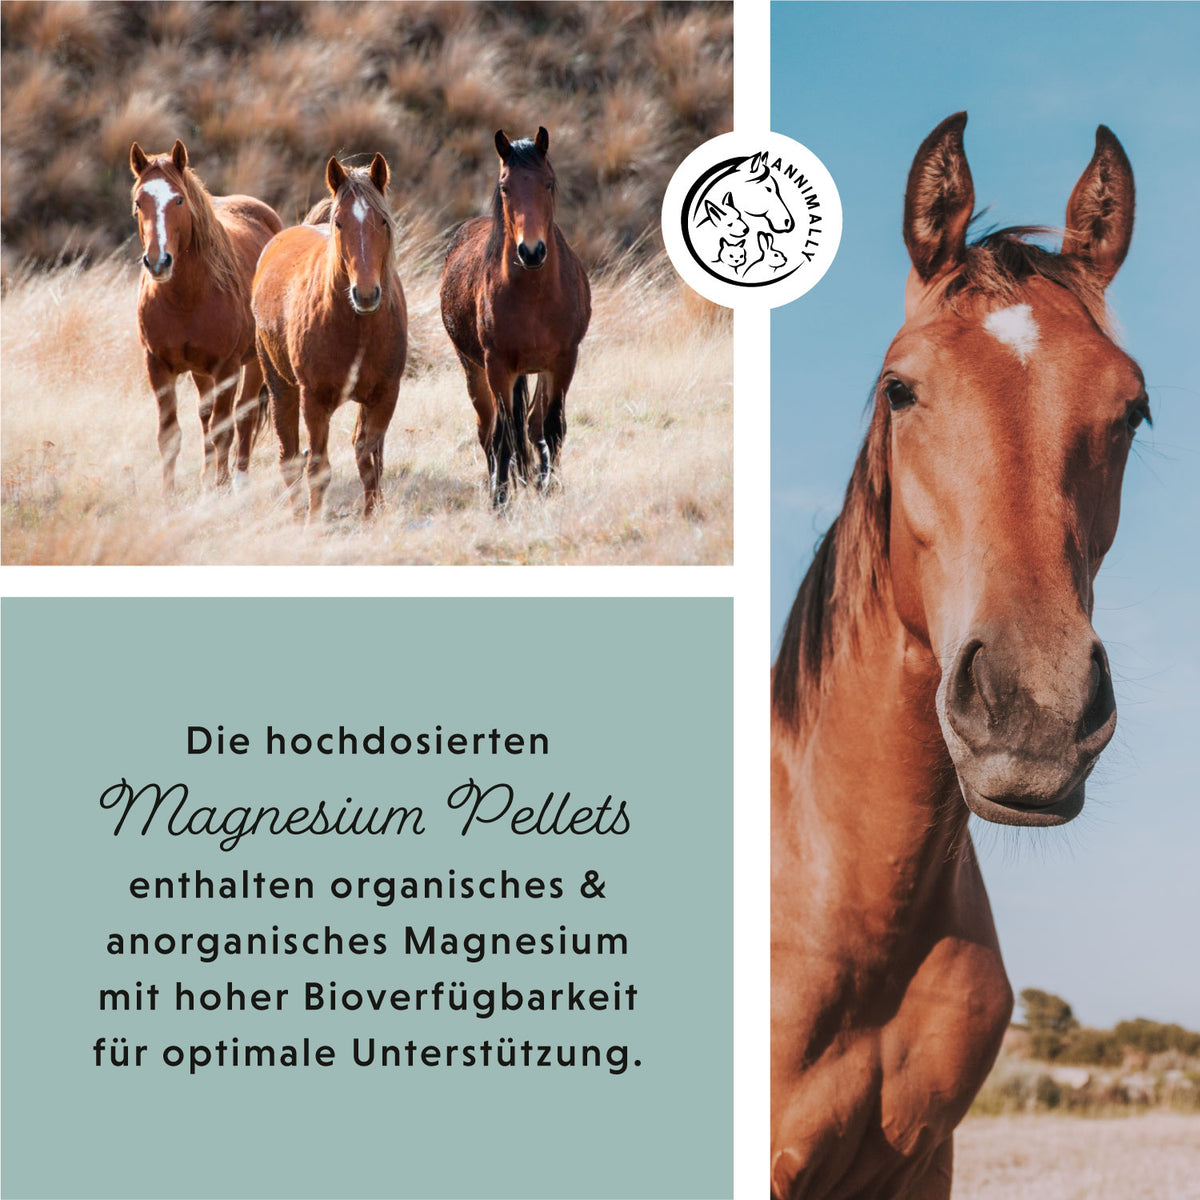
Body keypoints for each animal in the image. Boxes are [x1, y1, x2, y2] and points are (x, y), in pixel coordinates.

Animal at [130, 139, 282, 493]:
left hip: (253, 362)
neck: (186, 299)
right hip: (200, 372)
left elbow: (224, 428)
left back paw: (239, 480)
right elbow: (170, 435)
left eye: (179, 199)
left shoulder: (226, 367)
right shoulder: (157, 366)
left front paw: (221, 488)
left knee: (243, 415)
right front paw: (169, 494)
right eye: (139, 202)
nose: (157, 261)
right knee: (205, 415)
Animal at [251, 153, 407, 520]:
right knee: (290, 457)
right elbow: (318, 468)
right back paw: (297, 516)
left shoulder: (385, 395)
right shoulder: (314, 401)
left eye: (382, 221)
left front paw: (371, 517)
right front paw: (313, 523)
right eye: (339, 223)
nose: (365, 294)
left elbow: (369, 458)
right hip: (281, 388)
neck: (357, 327)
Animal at [440, 126, 591, 508]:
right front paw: (500, 502)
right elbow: (504, 435)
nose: (532, 251)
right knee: (489, 430)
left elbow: (551, 428)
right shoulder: (498, 366)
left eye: (548, 183)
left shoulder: (564, 361)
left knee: (533, 424)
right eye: (505, 186)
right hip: (474, 369)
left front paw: (549, 488)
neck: (533, 295)